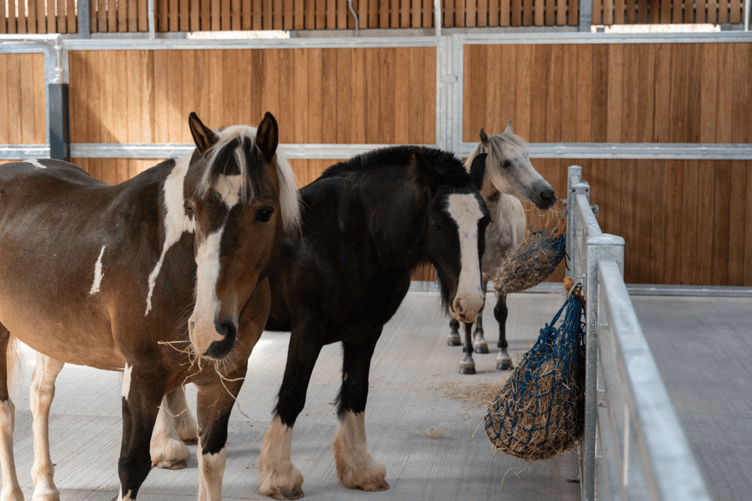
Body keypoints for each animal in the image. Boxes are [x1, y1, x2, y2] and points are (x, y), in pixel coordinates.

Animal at [0, 111, 301, 501]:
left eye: (265, 212)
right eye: (193, 209)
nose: (209, 330)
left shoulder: (224, 380)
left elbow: (212, 461)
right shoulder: (142, 376)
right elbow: (132, 466)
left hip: (55, 334)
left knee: (41, 394)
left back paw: (46, 486)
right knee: (6, 413)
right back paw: (13, 491)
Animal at [154, 145, 490, 499]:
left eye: (485, 221)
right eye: (438, 223)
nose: (471, 302)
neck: (353, 237)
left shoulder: (366, 332)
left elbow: (356, 392)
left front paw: (359, 469)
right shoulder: (307, 333)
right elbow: (292, 396)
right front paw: (280, 476)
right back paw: (167, 448)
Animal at [447, 123, 556, 374]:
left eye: (527, 157)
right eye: (505, 163)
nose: (547, 195)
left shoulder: (502, 271)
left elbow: (499, 312)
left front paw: (503, 357)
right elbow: (466, 309)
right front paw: (466, 360)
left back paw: (480, 341)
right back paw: (456, 336)